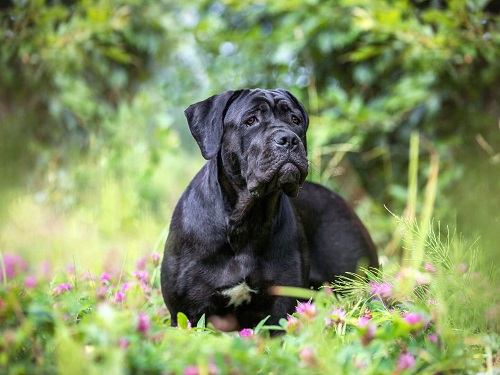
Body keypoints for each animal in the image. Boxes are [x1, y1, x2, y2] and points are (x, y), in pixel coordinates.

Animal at [161, 89, 378, 330]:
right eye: (250, 121)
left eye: (295, 120)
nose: (289, 139)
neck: (246, 218)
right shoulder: (189, 312)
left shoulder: (281, 305)